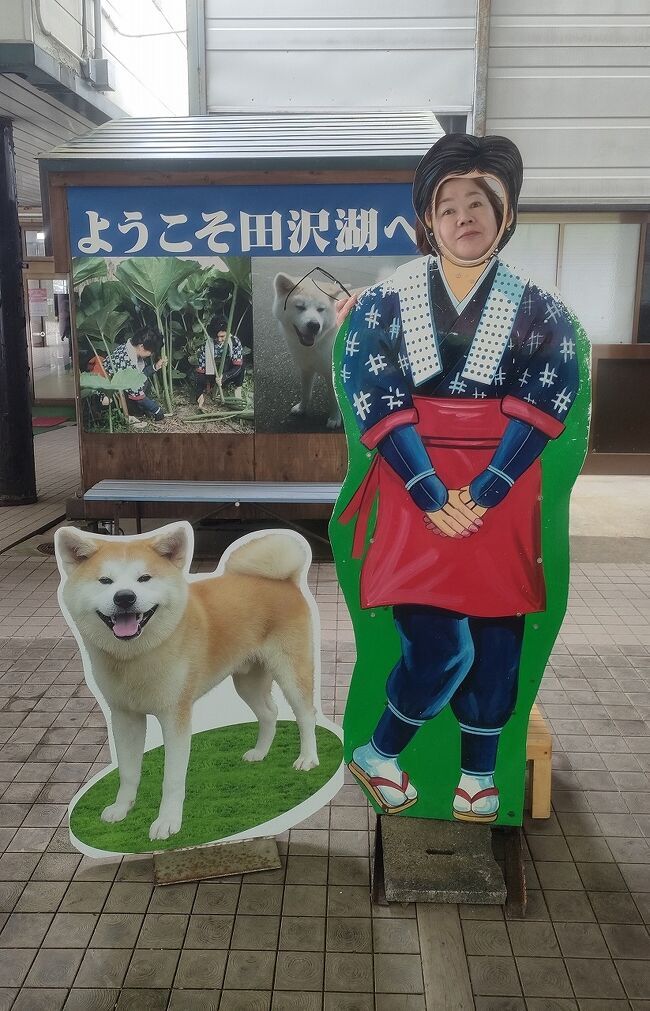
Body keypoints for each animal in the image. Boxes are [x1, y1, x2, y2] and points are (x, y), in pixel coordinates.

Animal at [55, 525, 319, 841]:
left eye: (145, 578)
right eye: (105, 581)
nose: (125, 597)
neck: (136, 657)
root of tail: (285, 581)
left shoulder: (175, 716)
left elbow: (172, 778)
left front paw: (167, 822)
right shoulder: (124, 716)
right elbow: (128, 771)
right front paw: (122, 808)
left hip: (291, 673)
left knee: (306, 715)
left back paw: (307, 759)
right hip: (247, 681)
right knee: (270, 713)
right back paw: (260, 753)